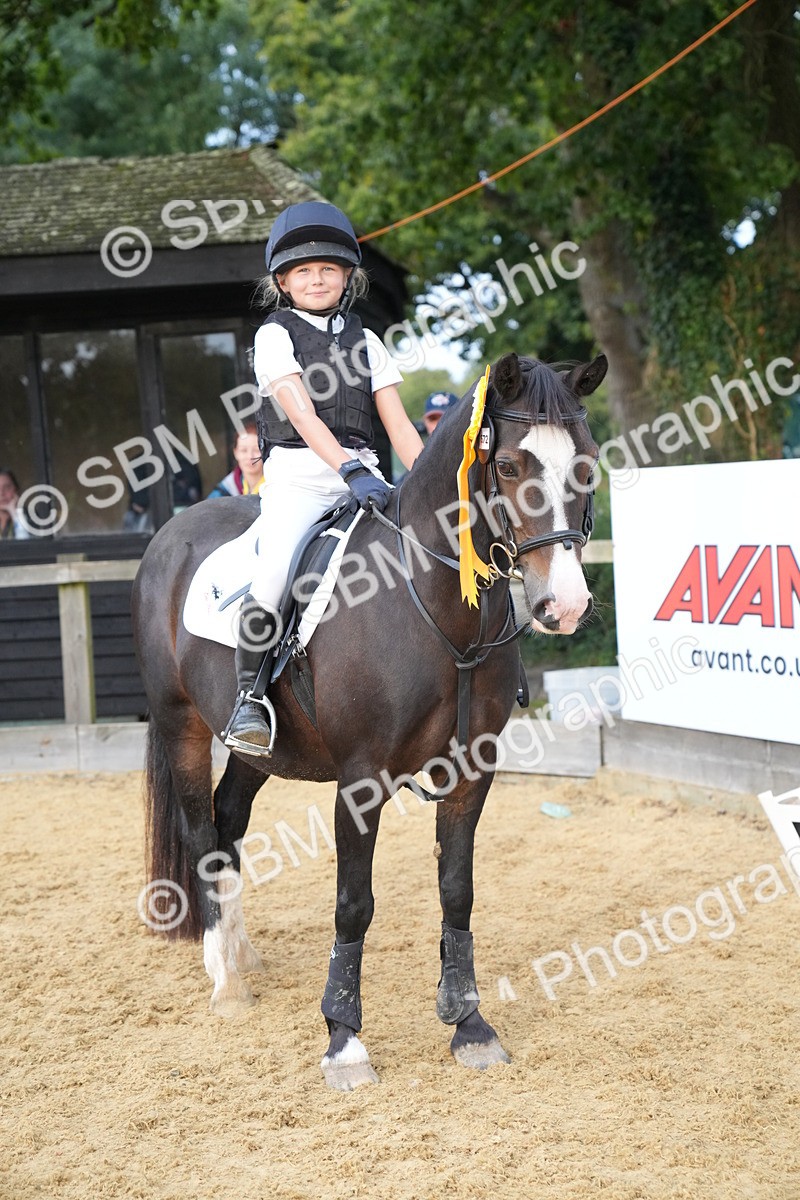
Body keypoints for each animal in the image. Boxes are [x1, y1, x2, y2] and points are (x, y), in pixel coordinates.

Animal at [132, 349, 606, 1090]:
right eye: (507, 468)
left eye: (585, 463)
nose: (565, 605)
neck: (434, 605)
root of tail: (171, 534)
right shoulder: (360, 780)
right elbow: (354, 903)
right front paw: (343, 1041)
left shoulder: (472, 773)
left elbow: (457, 891)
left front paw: (470, 1026)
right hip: (182, 726)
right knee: (202, 832)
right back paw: (225, 981)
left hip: (258, 750)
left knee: (229, 822)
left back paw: (242, 954)